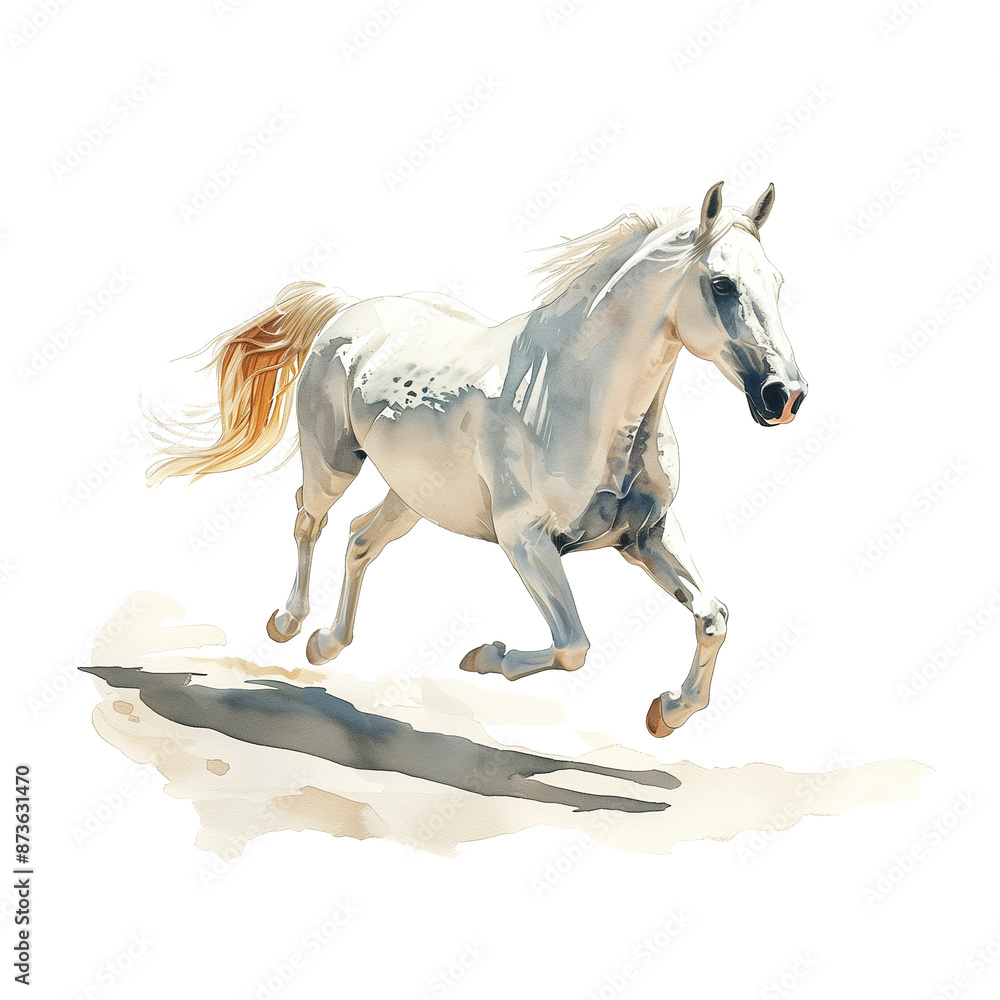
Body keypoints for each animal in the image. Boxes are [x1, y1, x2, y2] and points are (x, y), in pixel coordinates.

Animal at [148, 181, 807, 737]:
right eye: (721, 284)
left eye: (778, 282)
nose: (785, 396)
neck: (577, 398)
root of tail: (348, 309)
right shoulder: (524, 537)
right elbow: (573, 644)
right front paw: (482, 657)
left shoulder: (646, 536)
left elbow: (714, 617)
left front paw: (667, 712)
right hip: (332, 461)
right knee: (309, 520)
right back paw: (288, 623)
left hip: (413, 495)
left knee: (360, 539)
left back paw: (326, 644)